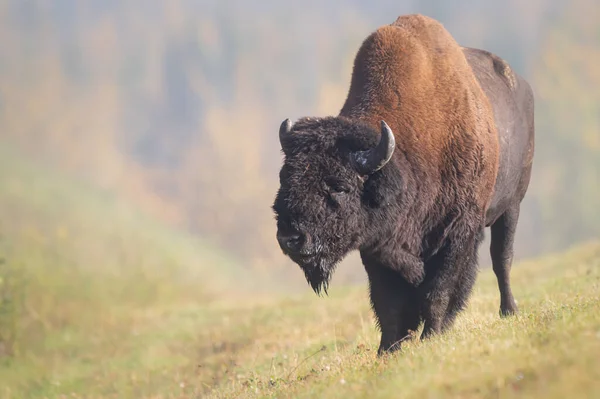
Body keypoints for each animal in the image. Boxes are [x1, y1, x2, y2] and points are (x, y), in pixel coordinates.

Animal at [272, 14, 536, 356]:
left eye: (340, 186)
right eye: (284, 178)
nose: (291, 238)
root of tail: (522, 87)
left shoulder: (457, 232)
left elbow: (438, 291)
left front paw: (431, 336)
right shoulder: (377, 247)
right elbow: (389, 305)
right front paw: (388, 350)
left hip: (511, 205)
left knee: (502, 258)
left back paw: (509, 311)